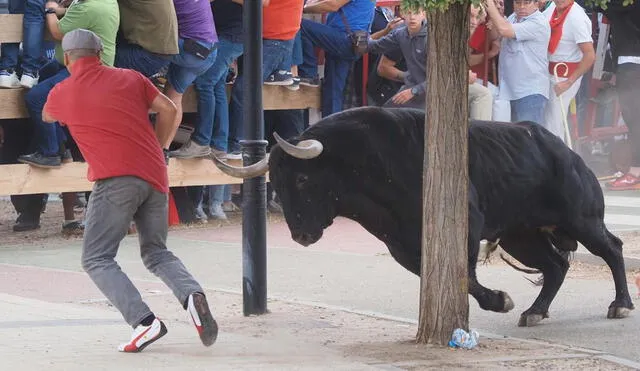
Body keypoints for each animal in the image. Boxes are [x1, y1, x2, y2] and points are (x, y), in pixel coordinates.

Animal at [211, 106, 636, 326]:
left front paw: (499, 300)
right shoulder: (400, 244)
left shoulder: (467, 224)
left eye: (301, 177)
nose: (299, 234)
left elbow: (465, 274)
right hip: (523, 234)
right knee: (555, 265)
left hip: (582, 219)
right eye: (276, 185)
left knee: (612, 248)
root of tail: (564, 150)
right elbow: (442, 274)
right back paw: (535, 311)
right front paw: (500, 300)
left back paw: (620, 305)